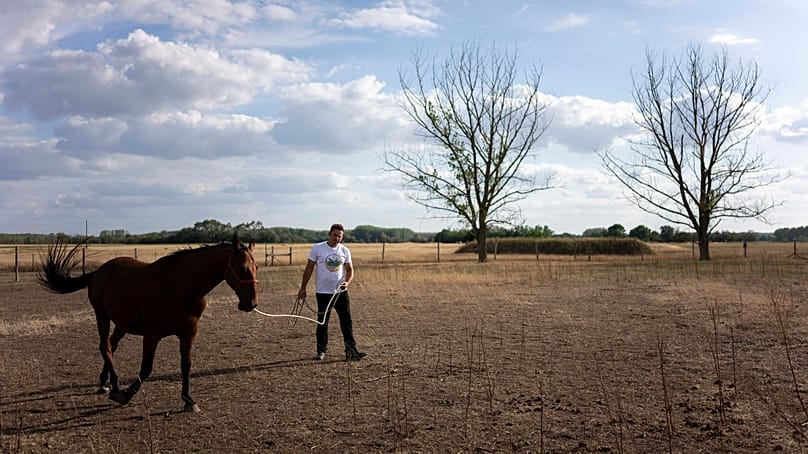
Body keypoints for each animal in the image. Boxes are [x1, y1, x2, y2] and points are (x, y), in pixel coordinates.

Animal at [37, 235, 259, 413]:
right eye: (242, 268)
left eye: (256, 267)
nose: (250, 304)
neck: (180, 288)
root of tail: (100, 271)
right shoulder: (152, 335)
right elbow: (146, 368)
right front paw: (126, 394)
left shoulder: (188, 333)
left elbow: (186, 365)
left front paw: (188, 400)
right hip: (102, 316)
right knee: (105, 346)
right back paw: (115, 387)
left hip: (122, 323)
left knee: (112, 345)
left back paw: (104, 382)